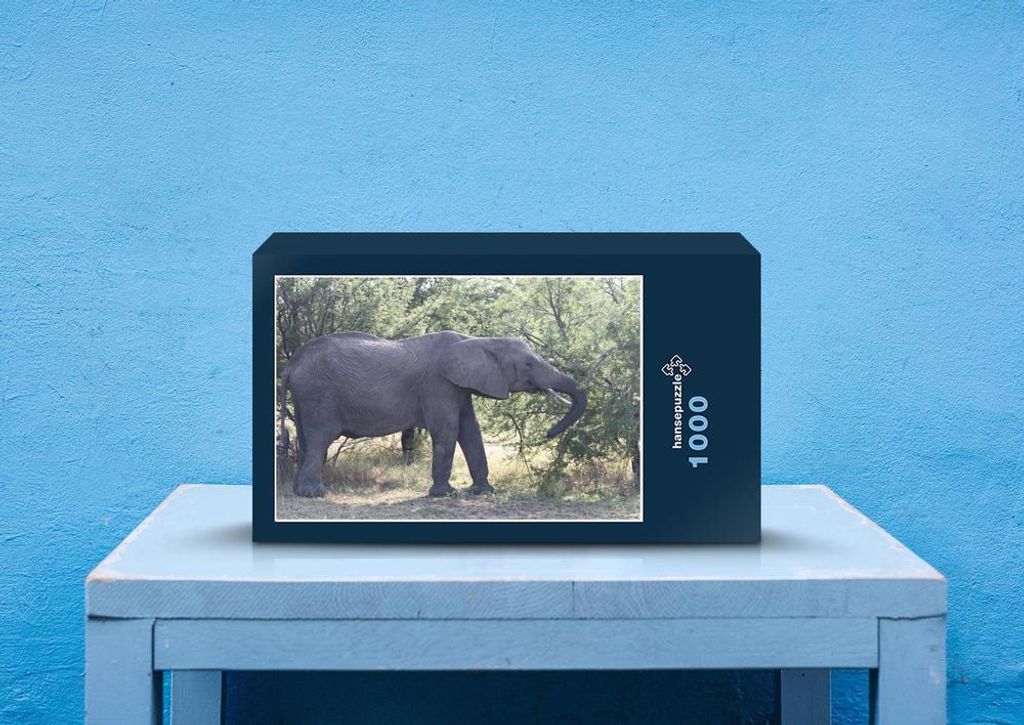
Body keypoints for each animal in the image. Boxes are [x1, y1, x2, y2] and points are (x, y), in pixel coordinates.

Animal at [279, 330, 588, 498]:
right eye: (528, 363)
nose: (549, 432)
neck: (477, 340)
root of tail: (292, 365)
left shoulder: (460, 387)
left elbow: (471, 430)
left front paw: (485, 492)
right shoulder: (439, 385)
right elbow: (448, 430)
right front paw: (444, 494)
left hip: (307, 397)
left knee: (306, 440)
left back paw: (298, 491)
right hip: (318, 394)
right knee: (319, 440)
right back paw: (314, 495)